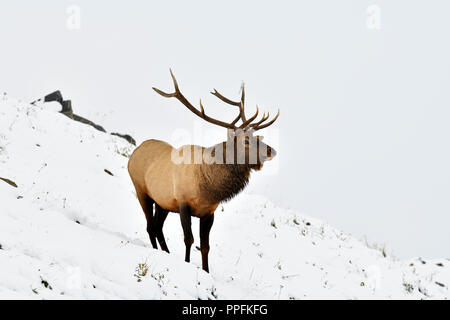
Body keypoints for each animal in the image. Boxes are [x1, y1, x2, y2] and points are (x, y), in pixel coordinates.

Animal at [126, 70, 280, 272]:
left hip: (162, 203)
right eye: (246, 140)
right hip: (141, 191)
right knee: (150, 226)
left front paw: (206, 271)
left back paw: (166, 252)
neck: (209, 188)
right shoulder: (183, 203)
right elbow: (189, 239)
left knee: (158, 227)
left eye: (256, 137)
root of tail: (134, 153)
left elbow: (205, 246)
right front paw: (186, 263)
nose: (272, 151)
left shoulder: (209, 213)